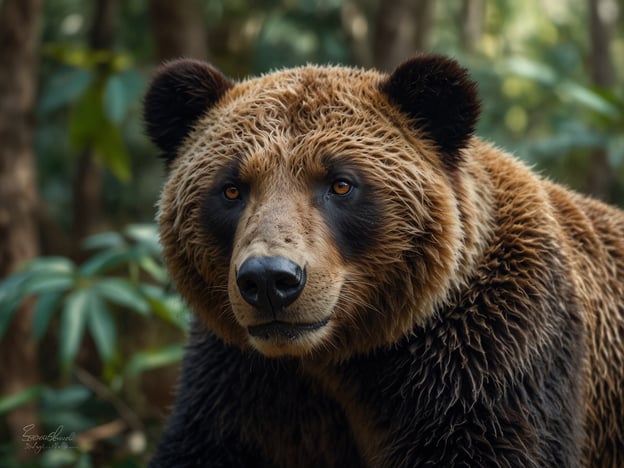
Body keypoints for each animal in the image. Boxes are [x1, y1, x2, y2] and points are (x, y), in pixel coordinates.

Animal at [144, 55, 620, 468]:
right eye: (231, 189)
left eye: (340, 183)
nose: (269, 280)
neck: (342, 355)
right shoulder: (244, 382)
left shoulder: (491, 361)